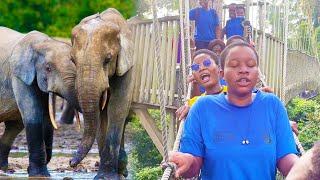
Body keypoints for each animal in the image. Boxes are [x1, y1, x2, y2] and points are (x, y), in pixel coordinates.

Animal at [0, 26, 79, 177]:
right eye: (48, 69)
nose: (71, 163)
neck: (42, 43)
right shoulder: (18, 74)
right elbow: (33, 114)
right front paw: (40, 175)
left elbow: (45, 117)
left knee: (15, 126)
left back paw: (3, 167)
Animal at [69, 8, 135, 179]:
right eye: (73, 61)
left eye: (108, 59)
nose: (71, 163)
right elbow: (101, 114)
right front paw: (102, 177)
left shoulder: (127, 65)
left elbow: (117, 108)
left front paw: (107, 176)